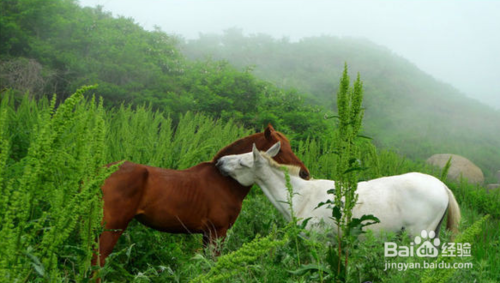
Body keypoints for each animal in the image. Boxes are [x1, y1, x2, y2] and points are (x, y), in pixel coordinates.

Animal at [92, 125, 306, 268]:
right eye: (281, 149)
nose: (304, 173)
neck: (224, 181)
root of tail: (101, 173)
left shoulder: (207, 233)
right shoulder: (218, 231)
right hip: (112, 227)